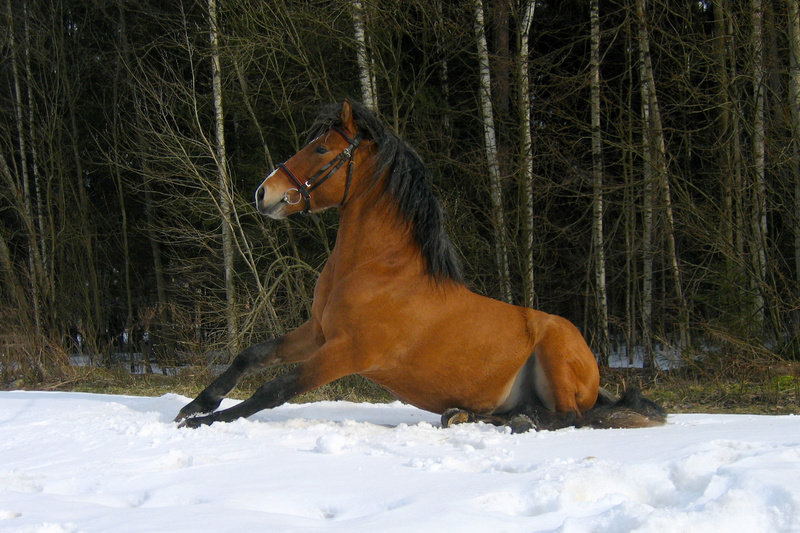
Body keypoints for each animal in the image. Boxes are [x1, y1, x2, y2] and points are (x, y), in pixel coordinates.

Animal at [177, 101, 668, 432]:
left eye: (320, 150)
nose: (265, 193)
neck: (377, 269)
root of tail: (593, 368)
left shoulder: (347, 352)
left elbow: (274, 389)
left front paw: (201, 423)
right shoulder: (317, 333)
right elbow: (252, 355)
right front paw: (196, 405)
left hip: (556, 352)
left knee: (568, 417)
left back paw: (505, 421)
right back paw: (465, 414)